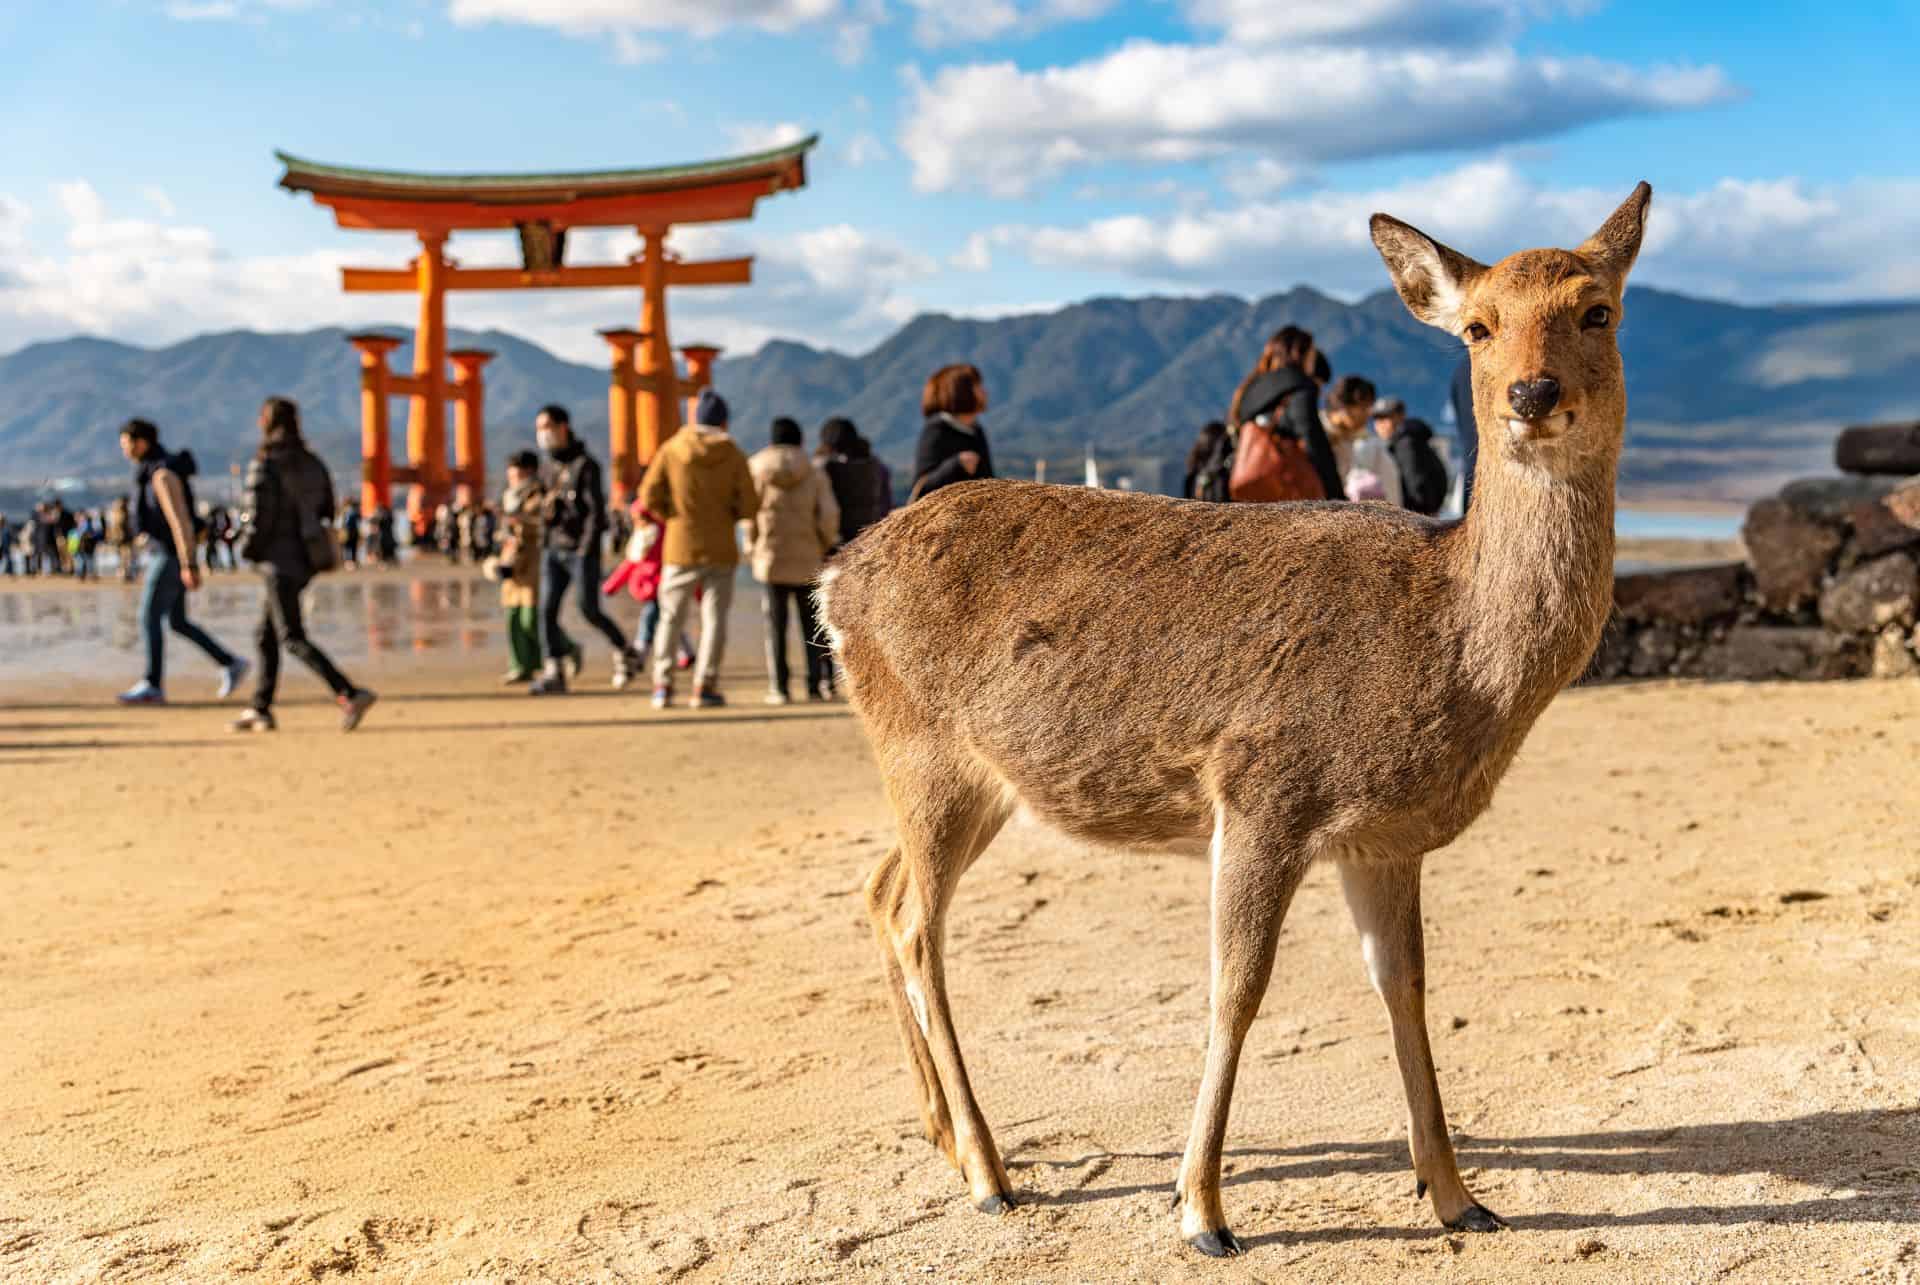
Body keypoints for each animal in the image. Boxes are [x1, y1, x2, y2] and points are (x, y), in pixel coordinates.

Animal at [817, 183, 1651, 1258]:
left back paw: (942, 1137)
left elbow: (1406, 986)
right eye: (1477, 326)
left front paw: (1459, 1194)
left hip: (975, 779)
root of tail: (833, 581)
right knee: (921, 926)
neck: (1451, 648)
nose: (1533, 394)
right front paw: (1202, 1210)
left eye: (1600, 310)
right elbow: (1237, 987)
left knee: (880, 892)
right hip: (924, 751)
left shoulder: (1384, 838)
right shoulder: (1262, 787)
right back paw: (991, 1174)